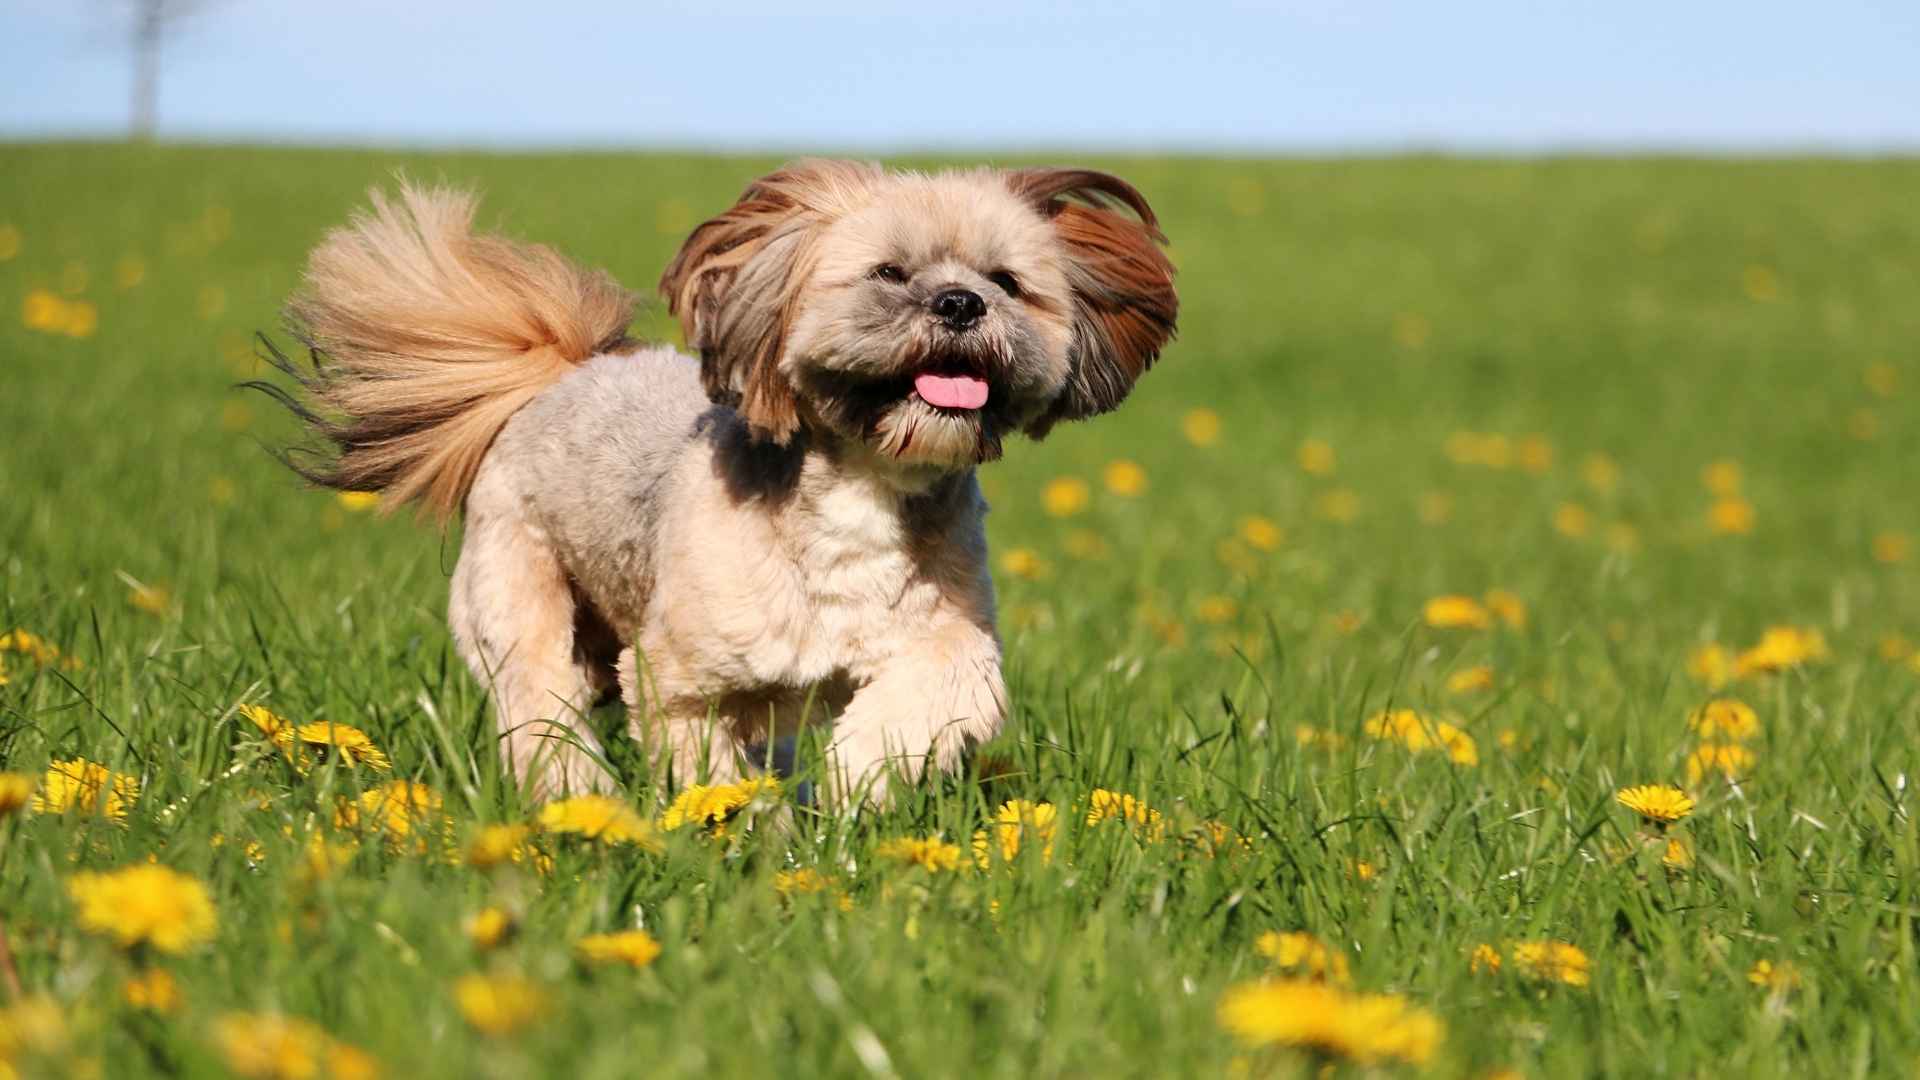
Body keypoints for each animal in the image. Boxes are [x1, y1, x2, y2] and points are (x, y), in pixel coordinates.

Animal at [264, 159, 1175, 799]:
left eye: (1008, 283)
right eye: (887, 273)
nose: (959, 303)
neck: (863, 490)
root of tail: (562, 370)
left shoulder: (949, 640)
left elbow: (927, 697)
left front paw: (853, 782)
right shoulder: (678, 675)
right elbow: (706, 765)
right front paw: (744, 834)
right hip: (519, 594)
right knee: (540, 707)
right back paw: (578, 797)